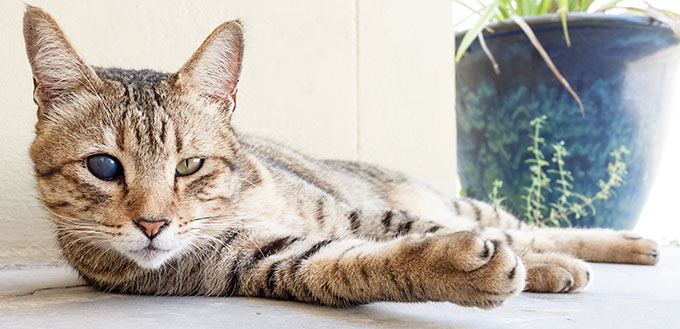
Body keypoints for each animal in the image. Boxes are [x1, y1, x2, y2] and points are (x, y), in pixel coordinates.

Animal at [23, 5, 656, 308]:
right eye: (104, 167)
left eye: (188, 165)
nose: (153, 225)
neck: (243, 197)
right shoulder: (264, 260)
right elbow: (355, 265)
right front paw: (459, 267)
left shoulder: (356, 212)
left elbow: (421, 227)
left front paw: (542, 264)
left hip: (459, 201)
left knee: (526, 225)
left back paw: (624, 243)